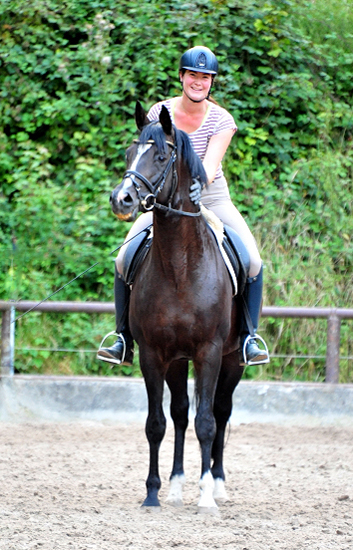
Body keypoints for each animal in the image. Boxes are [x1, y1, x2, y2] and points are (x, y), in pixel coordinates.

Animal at [110, 101, 245, 516]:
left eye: (160, 155)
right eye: (128, 153)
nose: (122, 199)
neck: (180, 267)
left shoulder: (210, 352)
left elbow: (207, 423)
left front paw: (206, 498)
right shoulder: (153, 354)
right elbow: (157, 423)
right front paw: (153, 493)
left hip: (232, 360)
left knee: (220, 411)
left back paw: (217, 484)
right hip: (177, 360)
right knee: (181, 414)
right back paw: (175, 485)